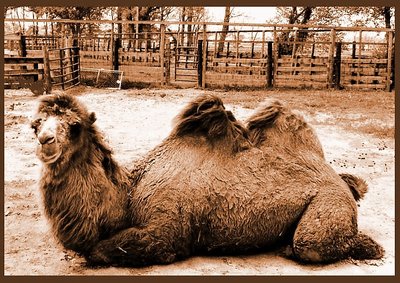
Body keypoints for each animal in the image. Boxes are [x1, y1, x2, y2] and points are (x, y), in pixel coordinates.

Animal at [30, 94, 382, 268]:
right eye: (35, 124)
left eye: (74, 125)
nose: (46, 141)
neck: (129, 193)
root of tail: (338, 177)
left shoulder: (165, 227)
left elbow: (100, 250)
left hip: (329, 203)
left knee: (311, 245)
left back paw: (366, 247)